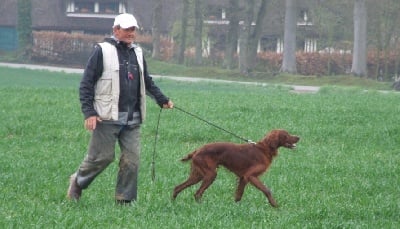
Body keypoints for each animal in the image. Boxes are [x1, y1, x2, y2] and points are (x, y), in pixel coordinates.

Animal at [172, 129, 300, 208]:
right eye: (286, 134)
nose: (298, 137)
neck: (264, 149)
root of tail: (197, 150)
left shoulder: (243, 178)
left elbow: (238, 195)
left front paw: (235, 207)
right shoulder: (251, 175)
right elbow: (267, 190)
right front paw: (275, 206)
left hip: (197, 175)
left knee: (178, 187)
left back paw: (172, 203)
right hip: (210, 174)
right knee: (197, 193)